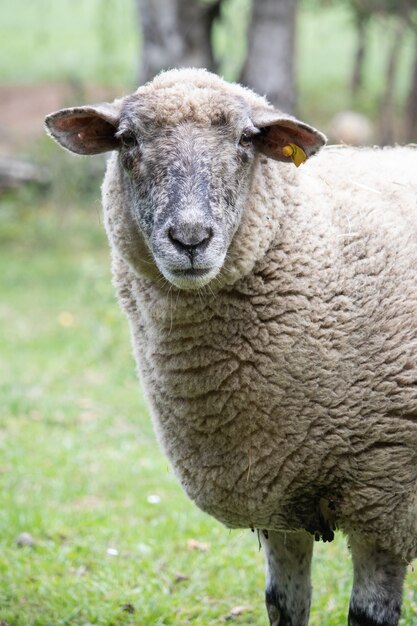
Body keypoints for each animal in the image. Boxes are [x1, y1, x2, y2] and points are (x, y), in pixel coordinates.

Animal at [44, 68, 416, 624]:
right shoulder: (277, 492)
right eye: (127, 139)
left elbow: (369, 614)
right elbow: (285, 605)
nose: (190, 238)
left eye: (245, 140)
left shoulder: (386, 502)